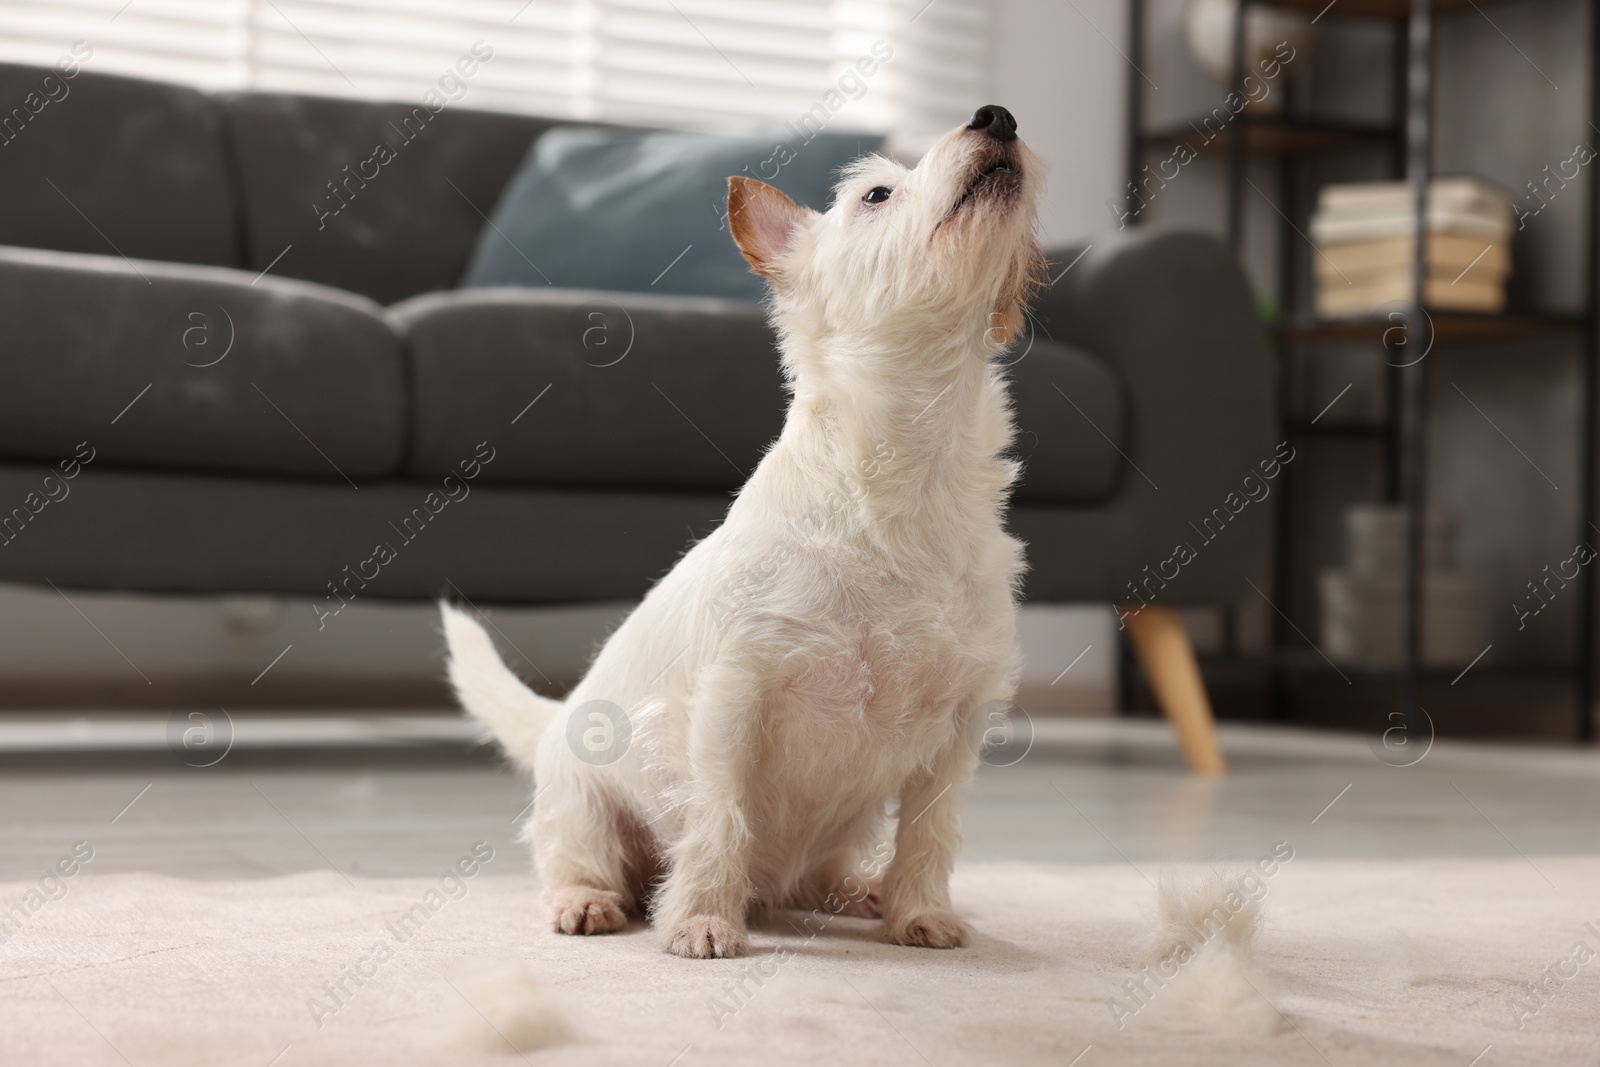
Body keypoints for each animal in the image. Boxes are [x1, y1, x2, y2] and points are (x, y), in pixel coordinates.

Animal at [448, 106, 1049, 959]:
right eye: (875, 194)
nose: (996, 116)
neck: (907, 476)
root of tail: (557, 719)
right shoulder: (736, 700)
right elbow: (718, 817)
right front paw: (701, 918)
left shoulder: (958, 728)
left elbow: (929, 832)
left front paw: (921, 912)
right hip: (585, 805)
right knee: (575, 859)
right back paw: (588, 900)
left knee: (821, 873)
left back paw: (861, 890)